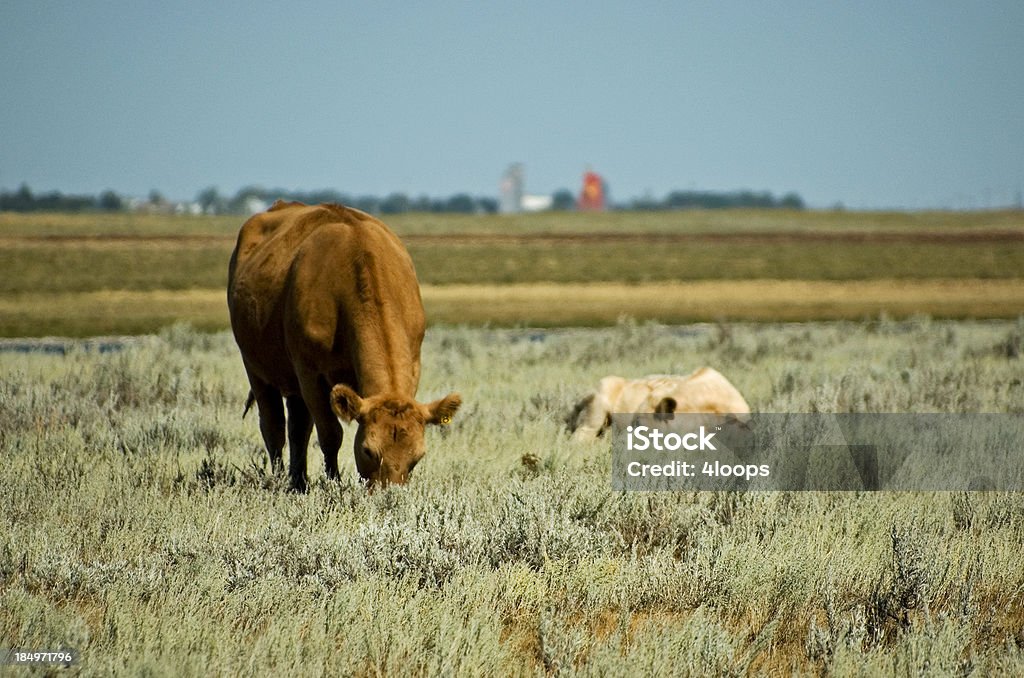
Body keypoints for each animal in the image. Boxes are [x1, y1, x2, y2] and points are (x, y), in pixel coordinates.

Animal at [230, 199, 462, 491]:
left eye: (418, 456)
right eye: (368, 450)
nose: (390, 493)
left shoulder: (414, 364)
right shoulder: (310, 373)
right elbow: (330, 433)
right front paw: (334, 482)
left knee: (297, 428)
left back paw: (298, 480)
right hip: (256, 369)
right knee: (274, 427)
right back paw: (283, 478)